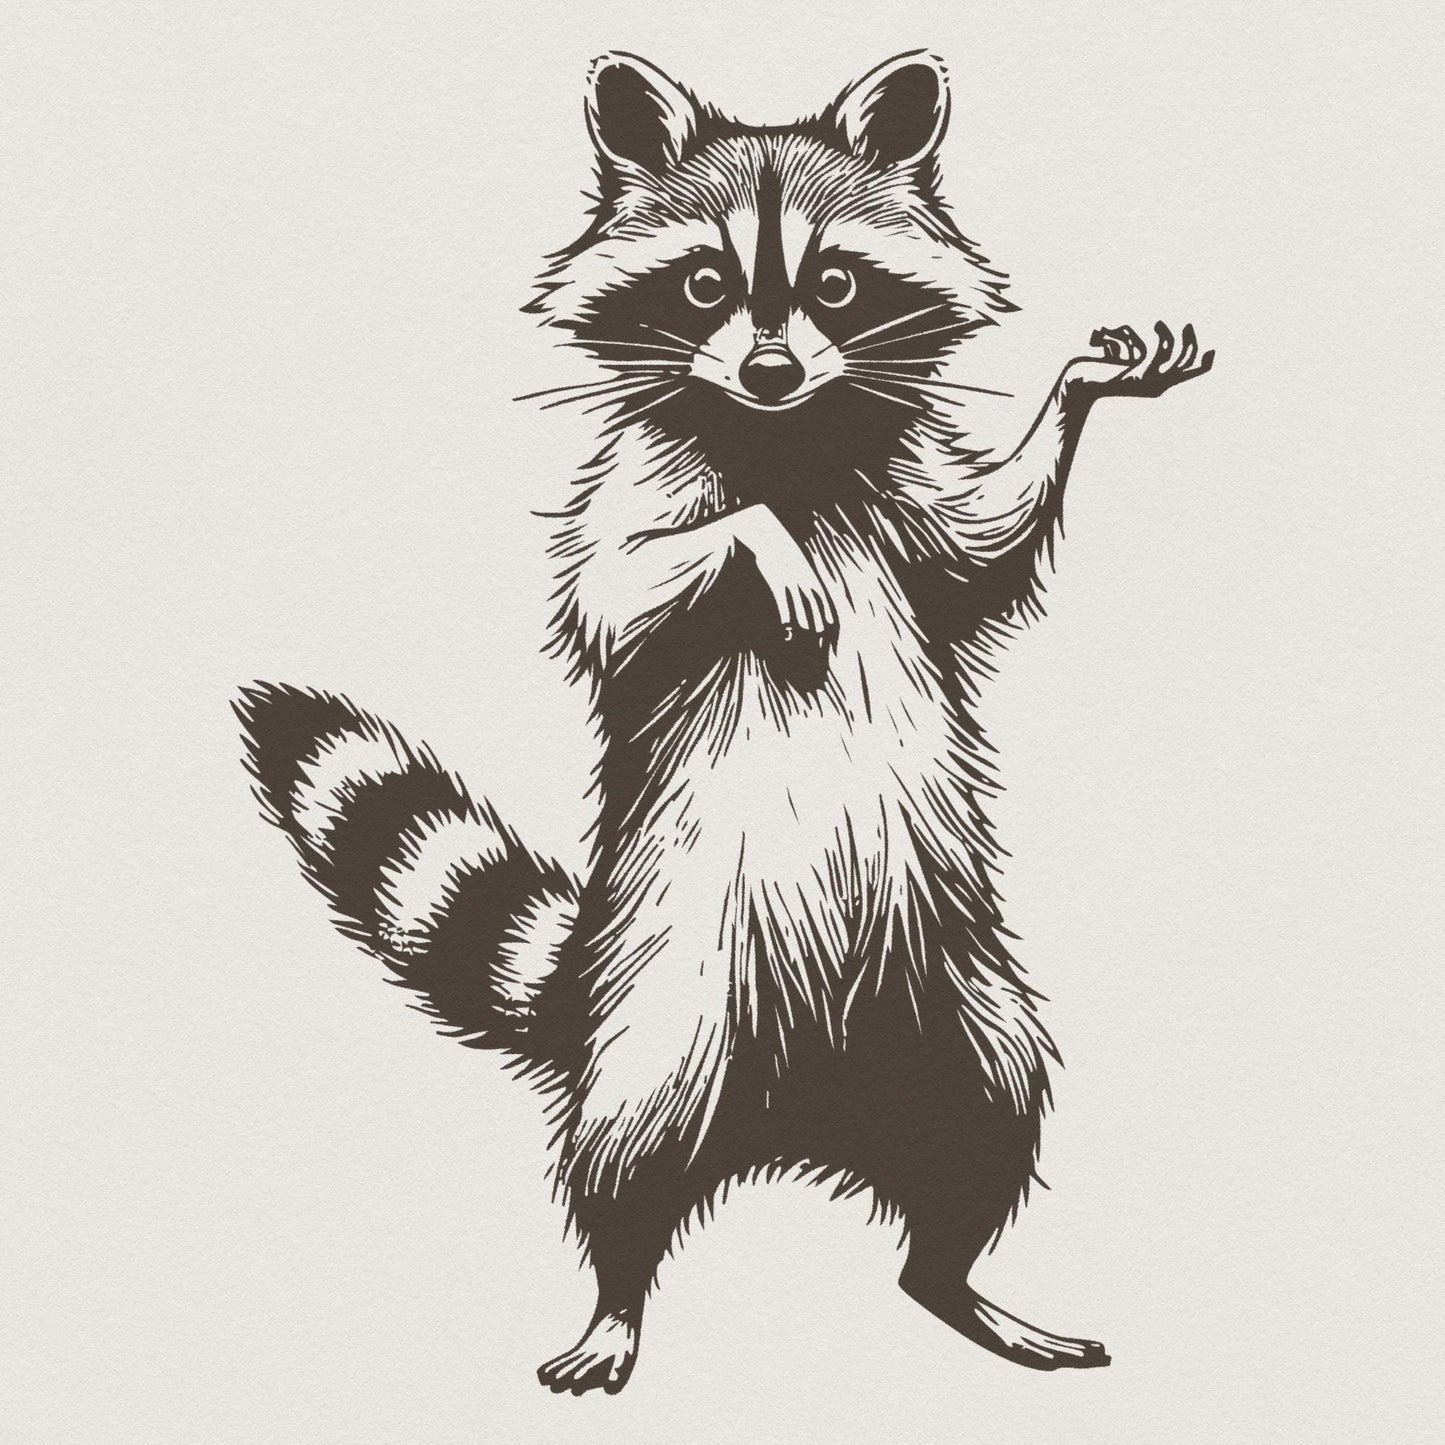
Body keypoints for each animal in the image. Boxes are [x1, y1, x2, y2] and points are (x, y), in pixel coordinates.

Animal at [238, 50, 1211, 1396]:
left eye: (835, 282)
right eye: (703, 282)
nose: (766, 371)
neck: (781, 435)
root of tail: (803, 1109)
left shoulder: (903, 495)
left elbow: (978, 545)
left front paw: (1077, 390)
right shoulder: (625, 496)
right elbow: (627, 589)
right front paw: (762, 545)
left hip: (956, 1012)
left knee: (982, 1130)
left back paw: (958, 1281)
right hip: (673, 1000)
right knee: (620, 1156)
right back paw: (615, 1295)